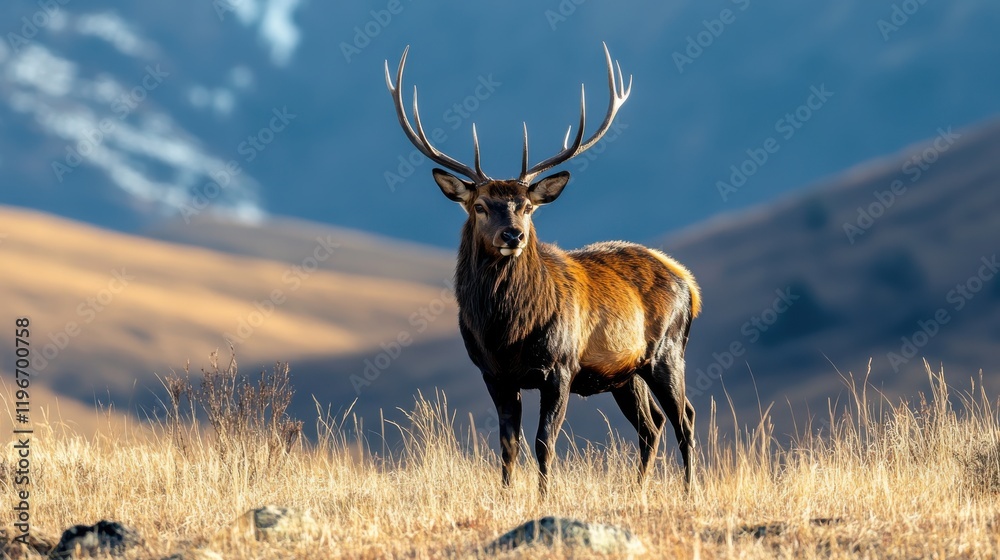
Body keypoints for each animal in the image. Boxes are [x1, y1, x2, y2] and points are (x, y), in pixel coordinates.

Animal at [385, 44, 701, 496]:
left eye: (528, 207)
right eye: (479, 205)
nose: (513, 234)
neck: (506, 332)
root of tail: (689, 283)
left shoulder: (561, 368)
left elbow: (543, 442)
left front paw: (542, 497)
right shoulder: (494, 373)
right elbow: (507, 443)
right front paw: (505, 496)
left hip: (668, 351)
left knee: (684, 417)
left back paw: (691, 490)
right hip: (626, 373)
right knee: (651, 424)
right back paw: (638, 488)